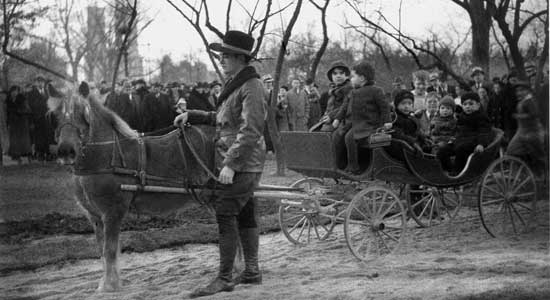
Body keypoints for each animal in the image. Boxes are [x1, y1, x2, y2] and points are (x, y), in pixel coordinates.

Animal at [47, 84, 220, 290]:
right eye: (54, 115)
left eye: (84, 113)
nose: (66, 151)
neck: (107, 156)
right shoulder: (95, 216)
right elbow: (102, 251)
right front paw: (107, 282)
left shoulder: (113, 212)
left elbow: (110, 249)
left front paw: (109, 285)